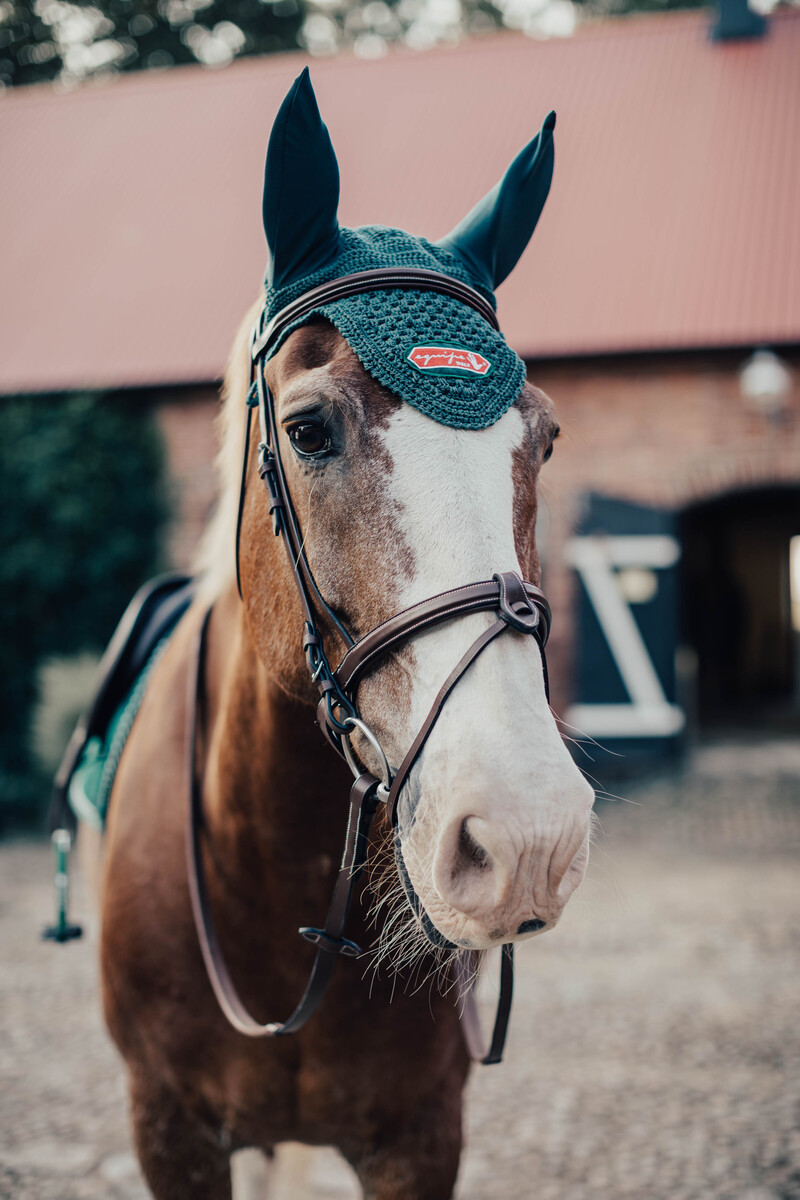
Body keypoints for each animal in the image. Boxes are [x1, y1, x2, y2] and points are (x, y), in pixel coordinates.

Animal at [97, 68, 592, 1200]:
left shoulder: (419, 1136)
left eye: (543, 440)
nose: (525, 835)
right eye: (307, 429)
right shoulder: (169, 1132)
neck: (274, 868)